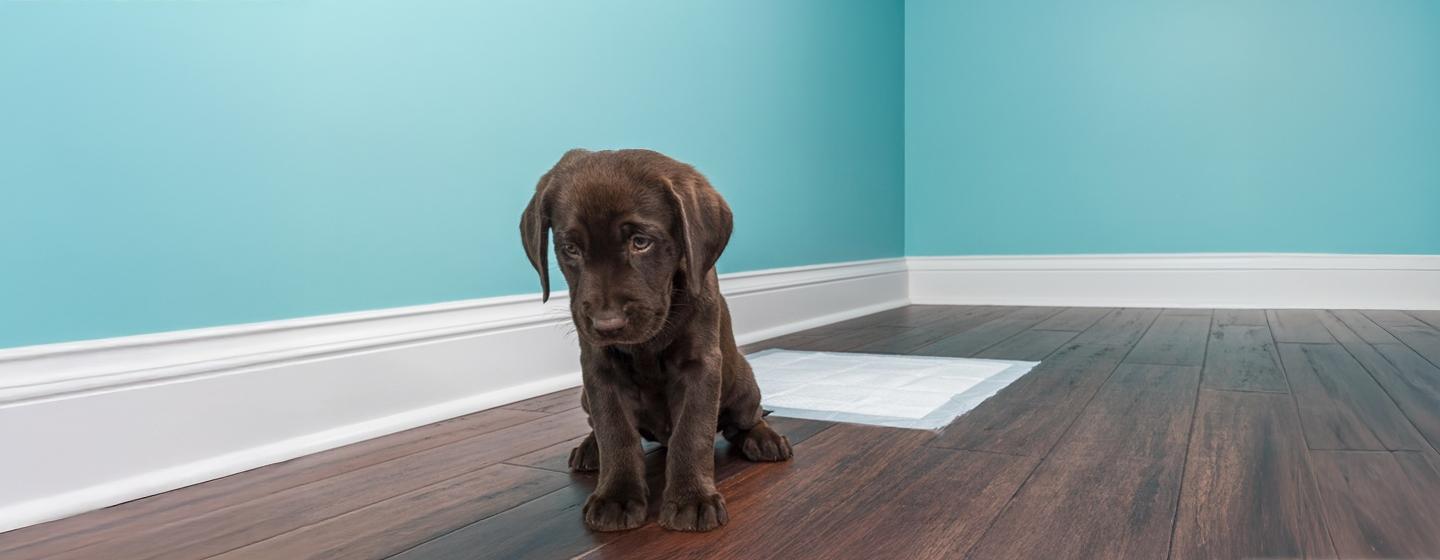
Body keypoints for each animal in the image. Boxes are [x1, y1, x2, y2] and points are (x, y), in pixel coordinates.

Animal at [520, 149, 793, 532]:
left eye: (641, 242)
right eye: (570, 248)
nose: (607, 324)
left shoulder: (701, 366)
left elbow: (692, 432)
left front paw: (692, 498)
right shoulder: (599, 372)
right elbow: (615, 431)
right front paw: (616, 496)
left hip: (742, 383)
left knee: (744, 419)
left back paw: (763, 438)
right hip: (585, 396)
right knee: (598, 427)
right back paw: (590, 449)